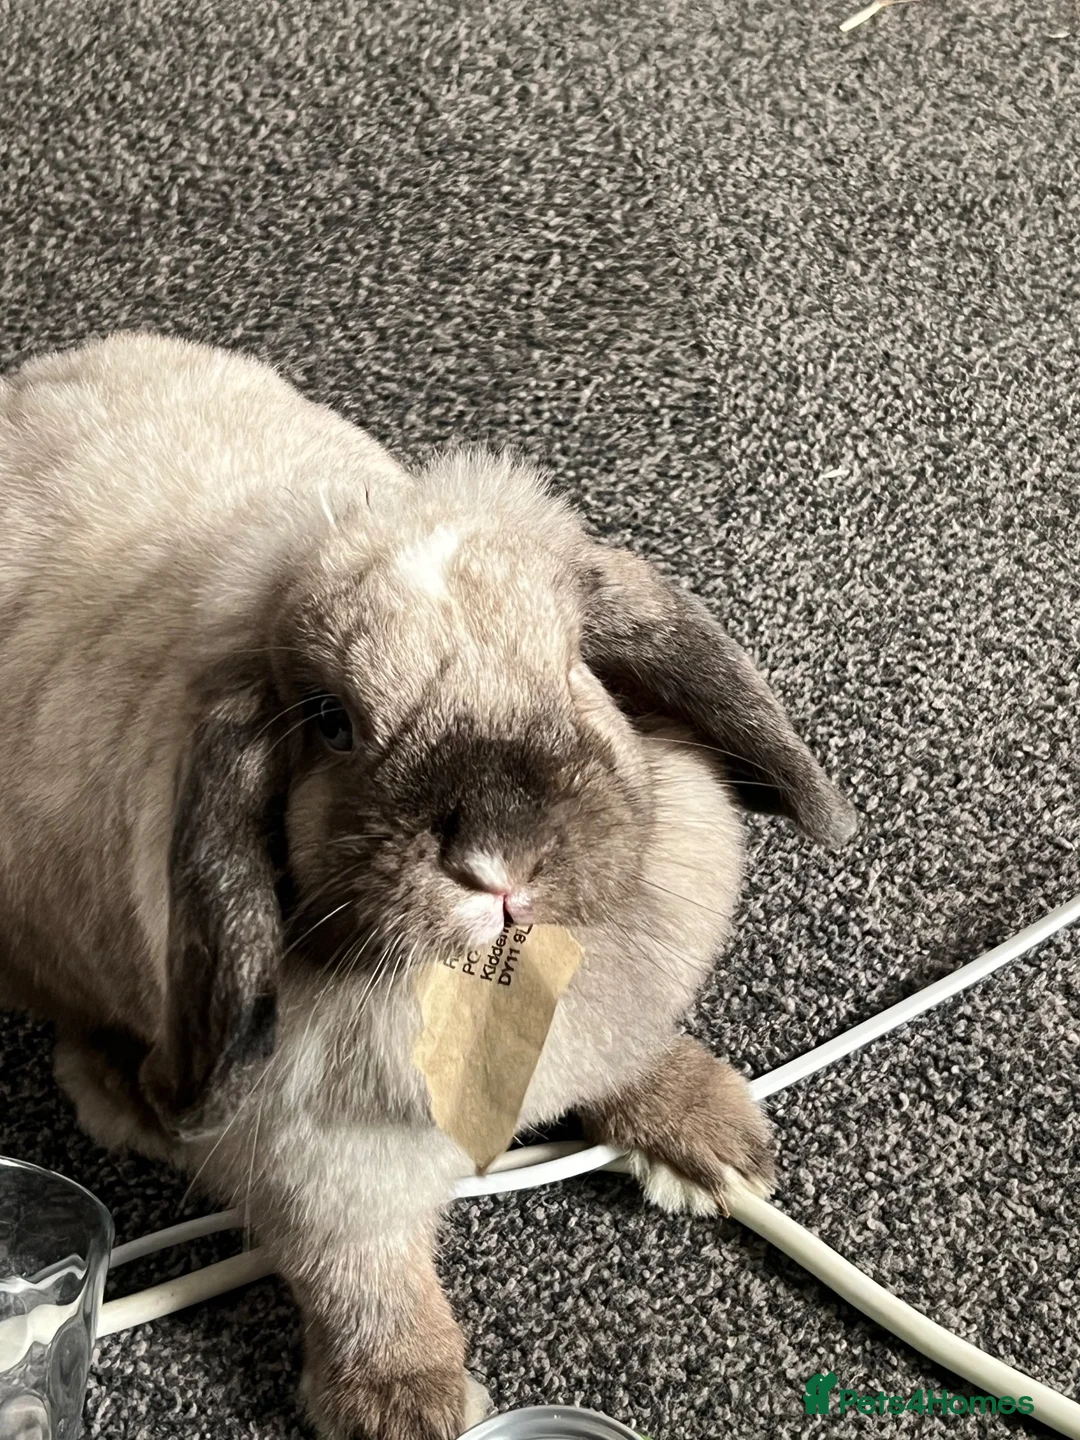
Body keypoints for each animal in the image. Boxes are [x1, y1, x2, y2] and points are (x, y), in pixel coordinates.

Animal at [0, 332, 856, 1440]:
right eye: (330, 721)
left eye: (576, 668)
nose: (500, 858)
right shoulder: (316, 1167)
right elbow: (363, 1274)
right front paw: (406, 1404)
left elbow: (625, 1059)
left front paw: (712, 1140)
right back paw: (130, 1099)